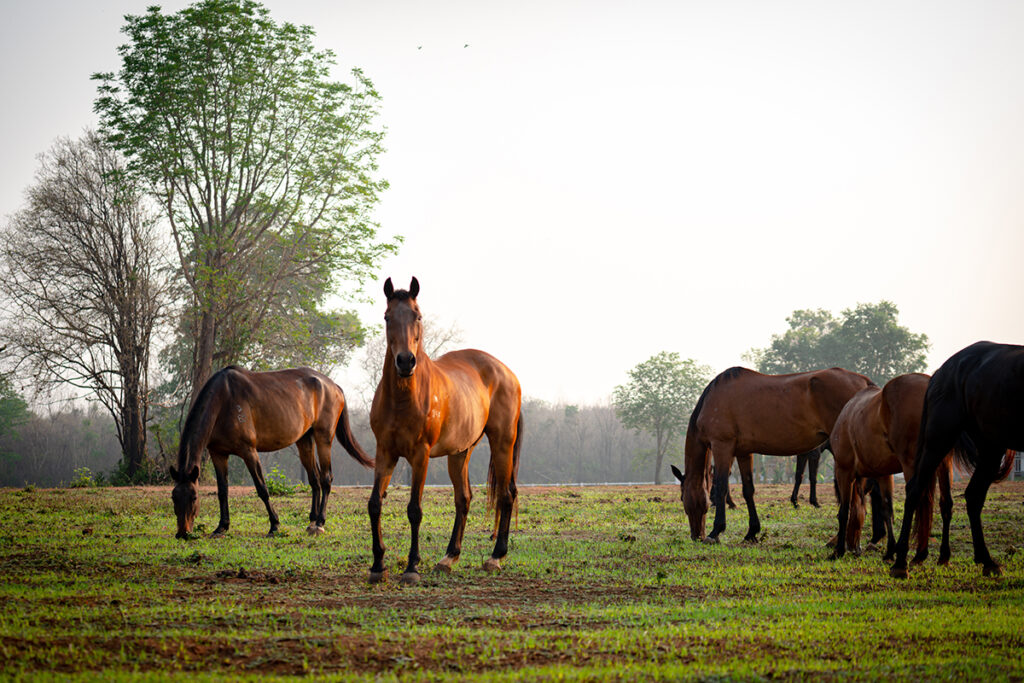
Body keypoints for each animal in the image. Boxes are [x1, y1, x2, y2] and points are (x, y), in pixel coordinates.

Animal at [169, 366, 374, 540]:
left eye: (194, 497)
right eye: (173, 497)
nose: (182, 533)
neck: (223, 400)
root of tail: (334, 386)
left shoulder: (249, 451)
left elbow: (262, 489)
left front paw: (274, 525)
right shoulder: (218, 454)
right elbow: (222, 491)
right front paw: (221, 527)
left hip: (323, 438)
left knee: (326, 478)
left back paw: (320, 523)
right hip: (304, 440)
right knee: (314, 480)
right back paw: (312, 521)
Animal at [368, 280, 524, 585]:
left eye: (417, 316)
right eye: (387, 317)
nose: (405, 362)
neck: (403, 398)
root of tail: (507, 373)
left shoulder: (420, 456)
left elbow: (414, 510)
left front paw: (412, 567)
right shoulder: (385, 453)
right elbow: (374, 504)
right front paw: (378, 565)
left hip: (502, 442)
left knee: (506, 494)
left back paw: (495, 557)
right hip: (460, 453)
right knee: (463, 499)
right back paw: (449, 557)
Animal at [679, 368, 872, 544]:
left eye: (683, 500)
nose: (696, 536)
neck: (713, 398)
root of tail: (863, 382)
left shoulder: (722, 446)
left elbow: (721, 487)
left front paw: (716, 531)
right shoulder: (743, 452)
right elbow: (748, 490)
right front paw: (752, 532)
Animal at [827, 376, 954, 565]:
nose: (855, 548)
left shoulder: (844, 471)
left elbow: (844, 511)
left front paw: (839, 550)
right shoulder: (883, 474)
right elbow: (886, 509)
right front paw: (889, 551)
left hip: (912, 465)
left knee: (918, 500)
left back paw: (912, 555)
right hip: (943, 463)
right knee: (945, 503)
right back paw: (940, 555)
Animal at [892, 342, 1019, 577]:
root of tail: (937, 374)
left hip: (983, 445)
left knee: (966, 496)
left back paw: (981, 560)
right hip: (941, 439)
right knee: (917, 489)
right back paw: (901, 563)